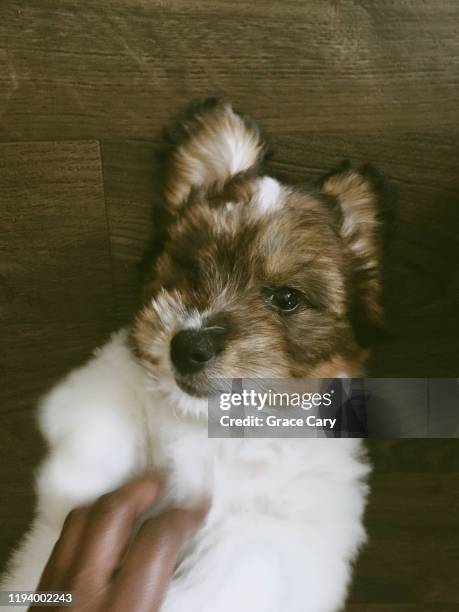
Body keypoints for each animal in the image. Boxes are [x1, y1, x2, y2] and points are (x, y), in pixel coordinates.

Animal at [1, 100, 394, 612]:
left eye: (286, 299)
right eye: (190, 270)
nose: (188, 346)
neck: (206, 426)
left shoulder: (275, 530)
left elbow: (235, 562)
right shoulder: (114, 376)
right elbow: (103, 402)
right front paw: (79, 472)